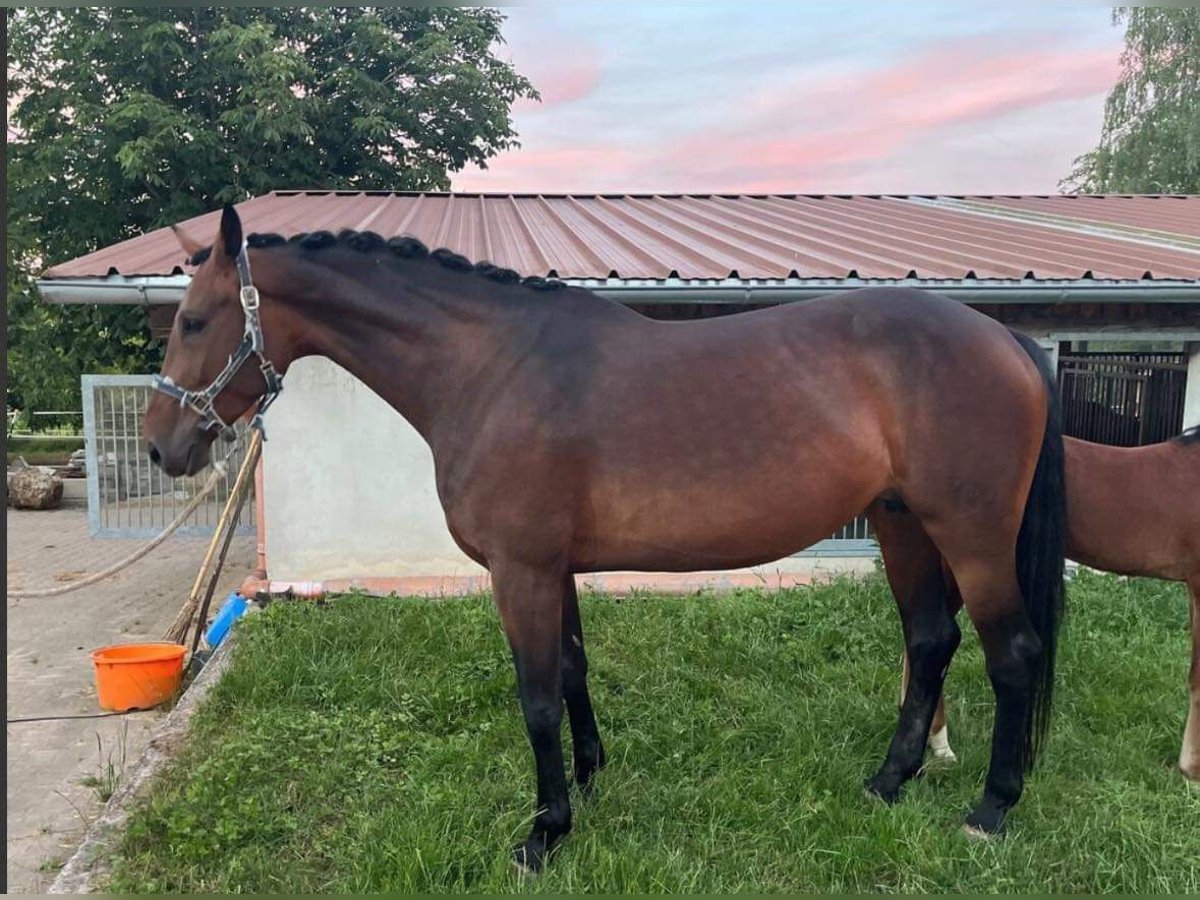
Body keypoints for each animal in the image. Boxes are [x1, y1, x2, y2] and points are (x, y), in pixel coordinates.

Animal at [142, 206, 1070, 873]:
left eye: (193, 322)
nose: (159, 446)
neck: (492, 369)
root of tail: (1006, 337)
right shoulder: (554, 568)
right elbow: (572, 671)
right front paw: (588, 785)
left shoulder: (519, 570)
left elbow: (536, 696)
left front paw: (543, 832)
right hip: (901, 523)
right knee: (931, 640)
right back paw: (886, 782)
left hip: (971, 536)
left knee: (1012, 653)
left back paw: (991, 809)